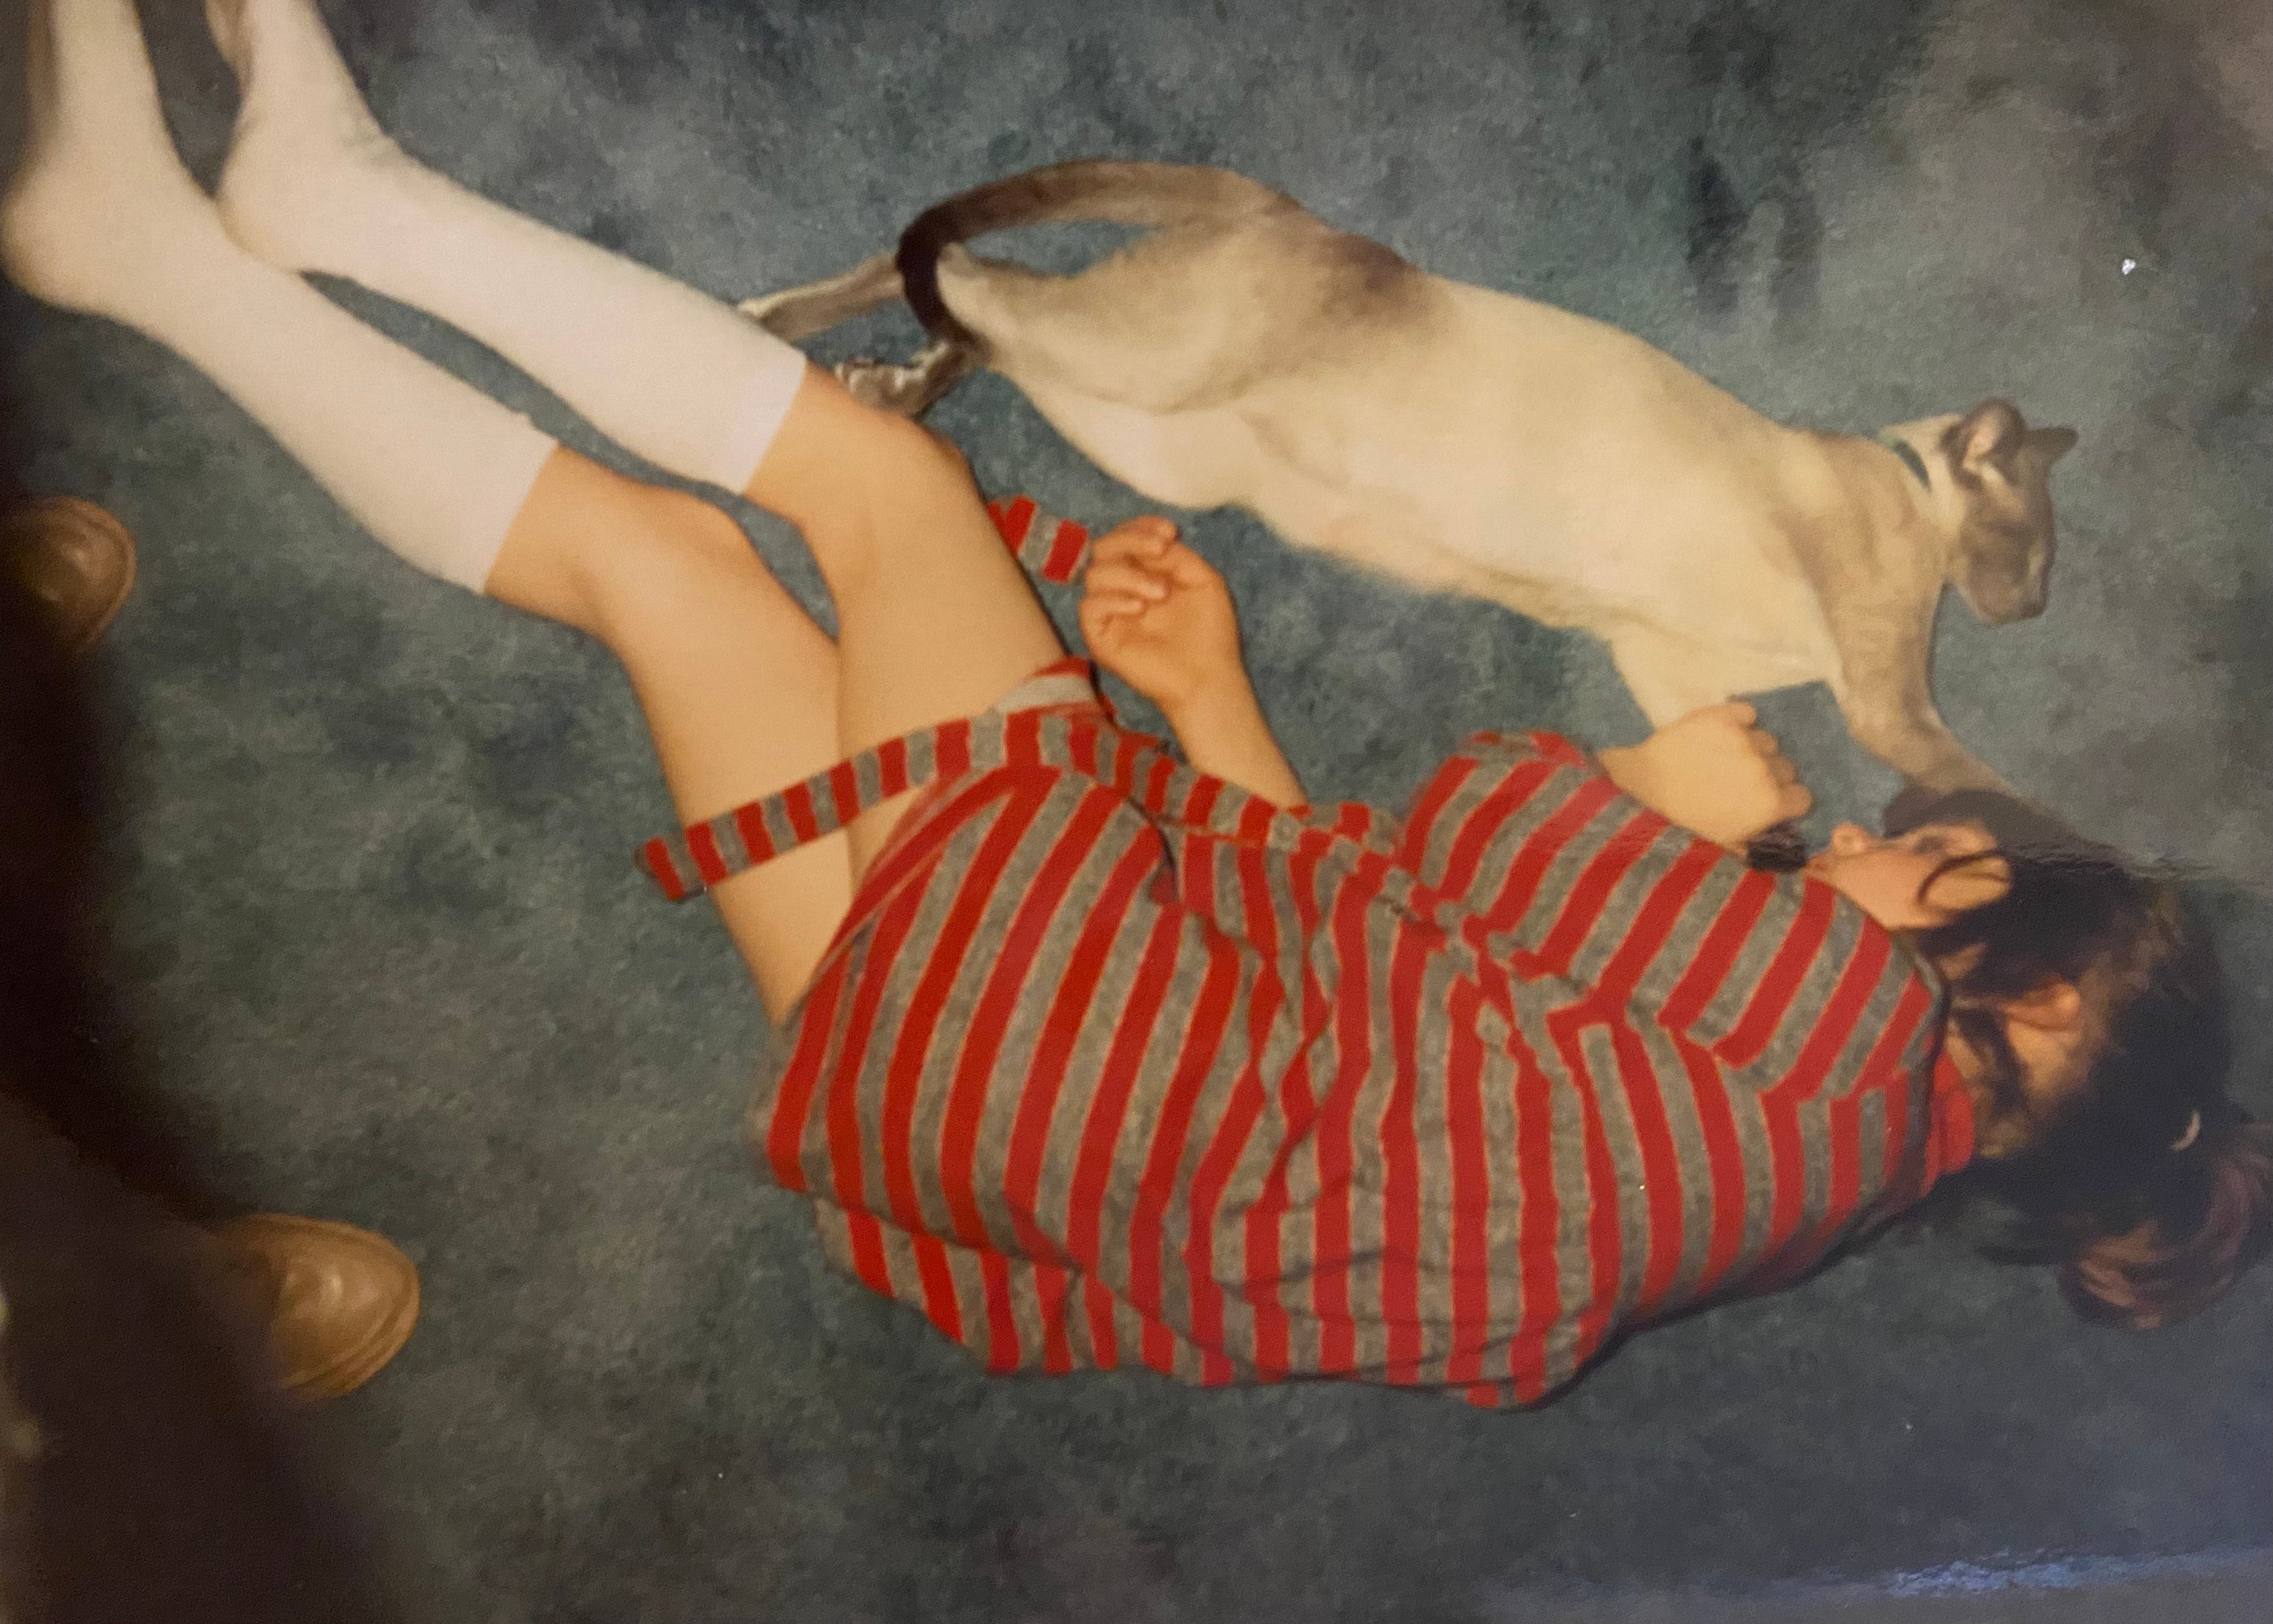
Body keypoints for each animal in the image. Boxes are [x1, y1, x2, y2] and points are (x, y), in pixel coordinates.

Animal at [742, 160, 2077, 793]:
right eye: (2034, 551)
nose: (2031, 609)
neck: (1908, 496)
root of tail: (1295, 212)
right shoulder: (1887, 704)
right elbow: (2014, 803)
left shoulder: (1670, 674)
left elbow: (1705, 753)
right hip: (1136, 372)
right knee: (959, 267)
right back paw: (788, 328)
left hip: (1144, 438)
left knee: (972, 304)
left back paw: (871, 380)